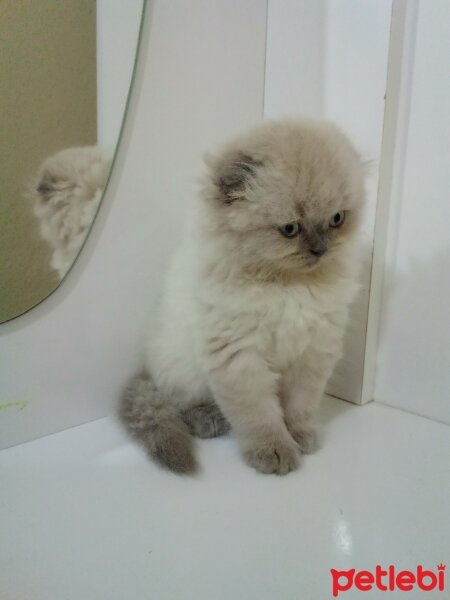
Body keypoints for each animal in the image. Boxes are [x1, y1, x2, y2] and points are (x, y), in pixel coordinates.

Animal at [120, 119, 366, 476]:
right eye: (290, 229)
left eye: (337, 219)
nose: (320, 250)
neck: (288, 284)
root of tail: (145, 368)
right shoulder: (240, 356)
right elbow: (260, 416)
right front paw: (275, 451)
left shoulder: (313, 352)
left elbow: (300, 406)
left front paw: (300, 436)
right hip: (183, 368)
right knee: (182, 403)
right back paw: (209, 420)